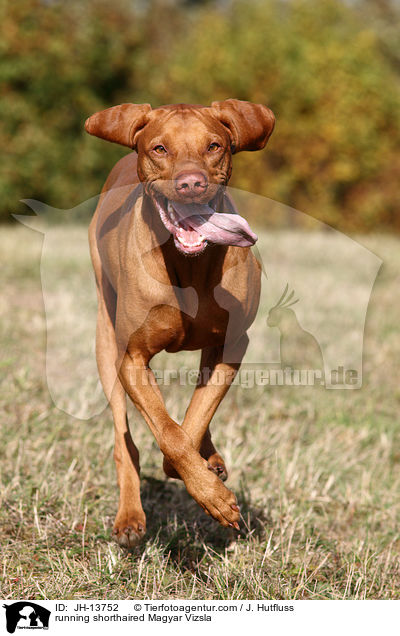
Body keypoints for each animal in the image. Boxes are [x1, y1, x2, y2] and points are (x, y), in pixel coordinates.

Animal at [85, 98, 276, 548]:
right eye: (160, 148)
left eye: (213, 146)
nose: (191, 184)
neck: (187, 265)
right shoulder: (132, 359)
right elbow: (170, 433)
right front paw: (212, 493)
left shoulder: (232, 344)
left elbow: (195, 416)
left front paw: (203, 476)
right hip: (105, 342)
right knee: (124, 440)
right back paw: (130, 516)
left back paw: (210, 458)